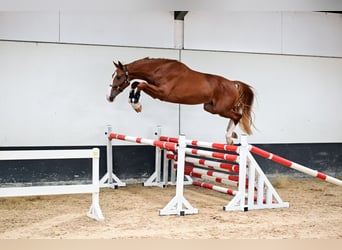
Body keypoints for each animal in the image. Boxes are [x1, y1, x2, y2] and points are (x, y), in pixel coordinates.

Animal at [107, 57, 254, 144]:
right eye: (113, 75)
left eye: (118, 77)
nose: (109, 97)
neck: (159, 70)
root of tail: (233, 83)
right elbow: (135, 84)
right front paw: (134, 102)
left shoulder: (162, 93)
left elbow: (141, 85)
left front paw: (137, 105)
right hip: (210, 108)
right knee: (234, 115)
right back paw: (231, 136)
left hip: (219, 109)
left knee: (237, 115)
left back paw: (229, 137)